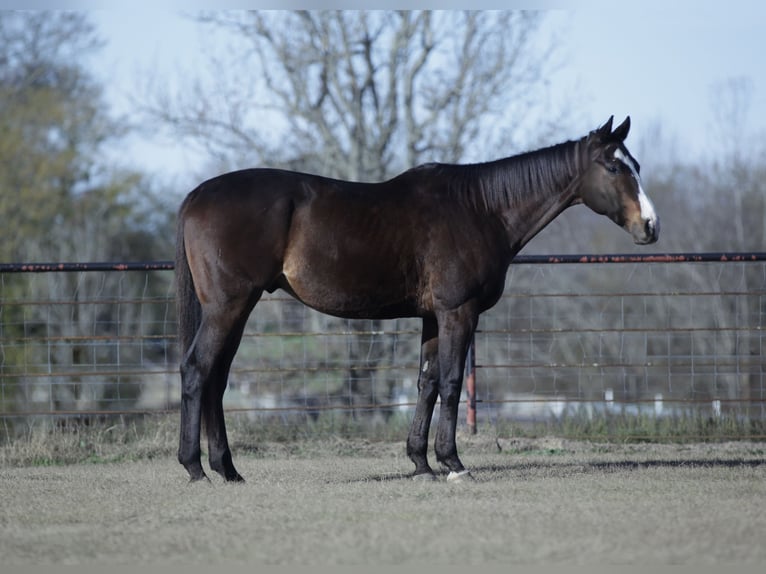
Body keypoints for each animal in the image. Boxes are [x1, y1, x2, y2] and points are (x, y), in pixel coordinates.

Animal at [175, 115, 659, 483]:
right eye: (614, 168)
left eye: (635, 164)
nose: (651, 227)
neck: (480, 209)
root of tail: (196, 194)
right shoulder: (458, 312)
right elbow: (451, 382)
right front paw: (453, 463)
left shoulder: (432, 316)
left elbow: (427, 382)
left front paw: (421, 463)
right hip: (229, 306)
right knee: (198, 369)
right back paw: (195, 467)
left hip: (237, 309)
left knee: (217, 377)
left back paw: (227, 469)